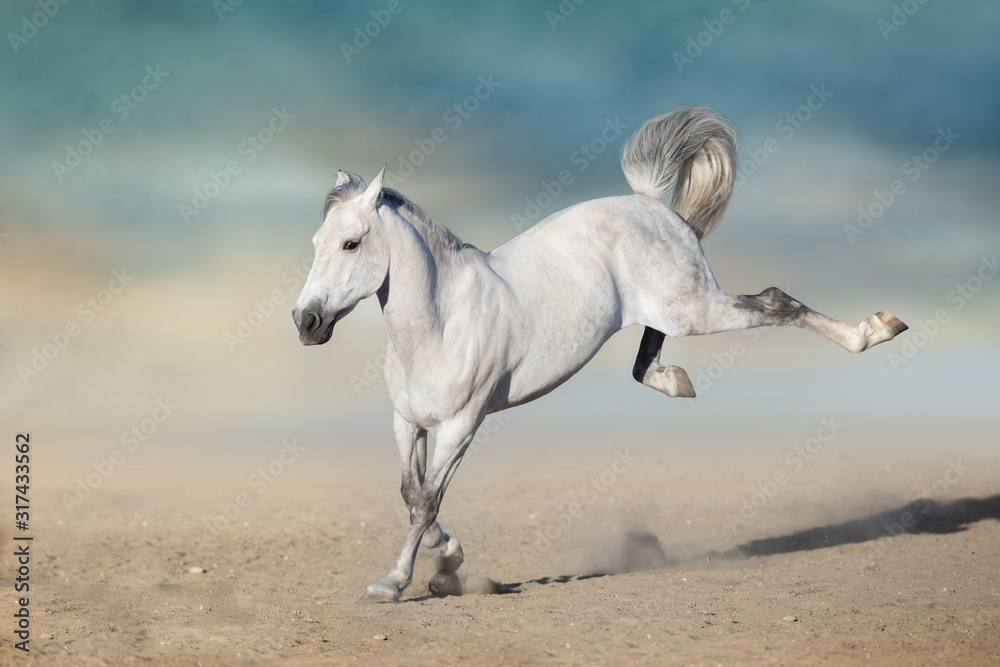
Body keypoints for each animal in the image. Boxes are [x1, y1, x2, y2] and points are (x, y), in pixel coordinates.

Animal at [292, 106, 908, 602]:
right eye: (317, 243)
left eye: (351, 243)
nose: (306, 322)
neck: (441, 324)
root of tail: (649, 205)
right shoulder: (409, 423)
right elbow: (412, 495)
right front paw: (449, 565)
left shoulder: (461, 426)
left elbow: (425, 503)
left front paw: (394, 584)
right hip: (670, 307)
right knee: (649, 355)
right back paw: (675, 380)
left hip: (697, 308)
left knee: (777, 301)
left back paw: (874, 331)